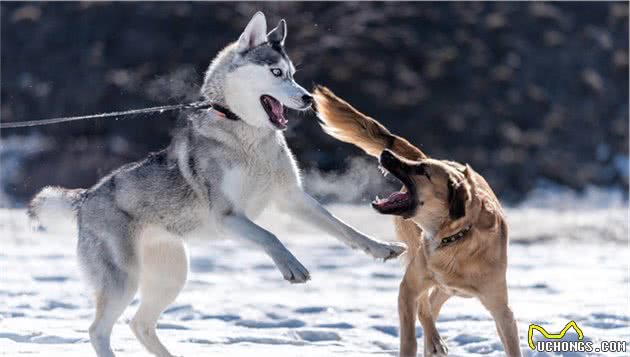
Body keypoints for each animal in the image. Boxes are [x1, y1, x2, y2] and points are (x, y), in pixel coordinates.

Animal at [314, 87, 524, 356]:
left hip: (448, 289)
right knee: (425, 307)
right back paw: (433, 340)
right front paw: (422, 341)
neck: (454, 238)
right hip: (416, 259)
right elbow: (410, 333)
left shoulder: (502, 312)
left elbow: (511, 343)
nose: (387, 154)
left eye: (421, 171)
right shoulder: (408, 288)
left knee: (432, 304)